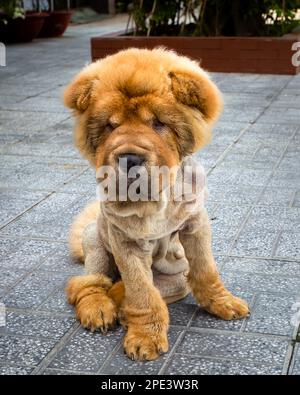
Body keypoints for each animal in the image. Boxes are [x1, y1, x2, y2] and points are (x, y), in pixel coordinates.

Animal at [64, 48, 250, 362]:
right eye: (111, 125)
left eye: (158, 123)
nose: (129, 158)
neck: (156, 198)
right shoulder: (125, 240)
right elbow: (141, 292)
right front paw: (145, 338)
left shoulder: (195, 224)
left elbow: (206, 270)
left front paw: (222, 302)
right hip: (94, 240)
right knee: (89, 284)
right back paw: (99, 310)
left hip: (175, 282)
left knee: (127, 290)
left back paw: (121, 307)